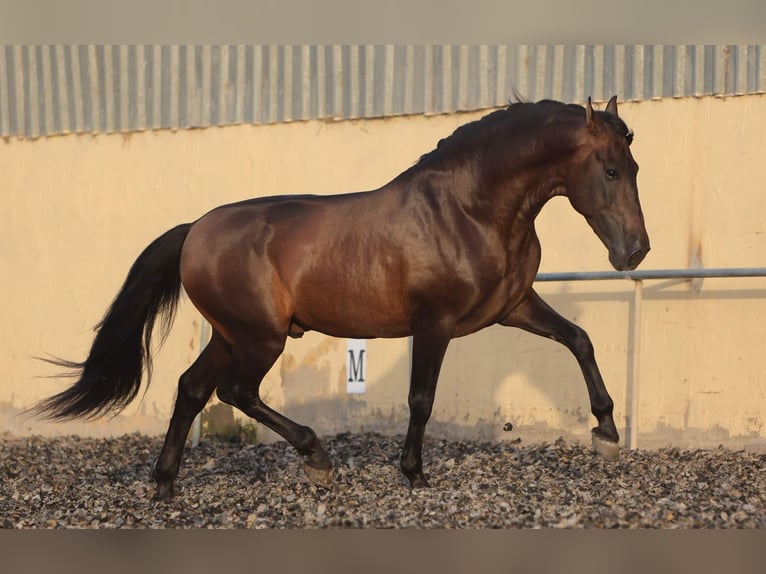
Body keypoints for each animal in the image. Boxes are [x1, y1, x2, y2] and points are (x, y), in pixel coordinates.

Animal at [34, 97, 648, 502]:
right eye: (610, 170)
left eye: (635, 167)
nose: (635, 250)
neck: (468, 210)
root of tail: (195, 231)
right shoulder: (435, 323)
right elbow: (421, 398)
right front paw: (414, 473)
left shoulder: (513, 307)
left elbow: (579, 339)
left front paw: (607, 431)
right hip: (261, 338)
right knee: (235, 391)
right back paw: (317, 460)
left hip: (231, 336)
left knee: (191, 389)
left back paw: (164, 484)